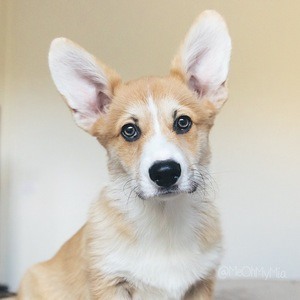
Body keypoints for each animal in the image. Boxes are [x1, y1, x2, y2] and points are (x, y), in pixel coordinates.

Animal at [17, 9, 231, 300]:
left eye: (183, 122)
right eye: (129, 131)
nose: (165, 173)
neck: (164, 221)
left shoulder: (201, 283)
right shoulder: (111, 282)